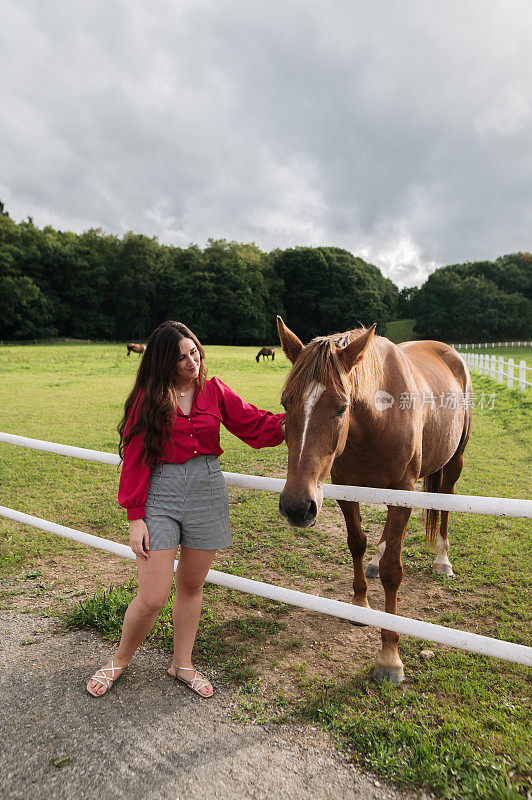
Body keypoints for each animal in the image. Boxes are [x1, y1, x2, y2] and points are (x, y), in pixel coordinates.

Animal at [276, 316, 472, 684]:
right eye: (284, 403)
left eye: (342, 407)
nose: (296, 507)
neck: (379, 418)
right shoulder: (344, 487)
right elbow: (356, 542)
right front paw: (359, 605)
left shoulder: (403, 493)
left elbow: (393, 570)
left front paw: (389, 656)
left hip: (453, 463)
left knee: (444, 503)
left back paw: (442, 560)